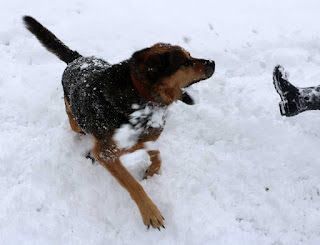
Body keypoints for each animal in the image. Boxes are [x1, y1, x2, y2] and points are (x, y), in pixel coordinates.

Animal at [23, 15, 215, 230]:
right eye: (186, 63)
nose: (213, 62)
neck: (140, 95)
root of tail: (77, 58)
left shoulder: (145, 137)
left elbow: (157, 155)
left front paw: (151, 171)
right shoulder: (106, 153)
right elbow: (133, 183)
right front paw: (150, 212)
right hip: (75, 120)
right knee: (76, 124)